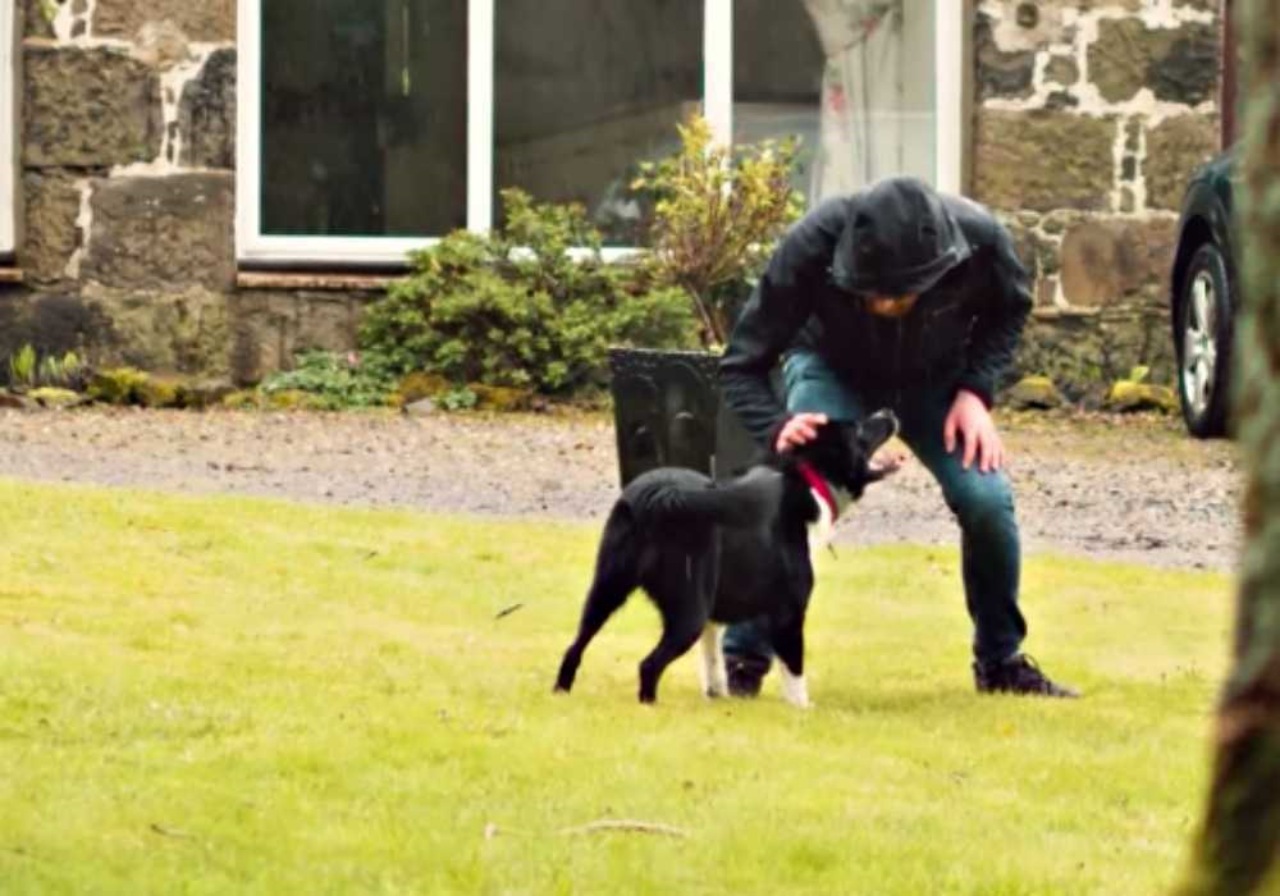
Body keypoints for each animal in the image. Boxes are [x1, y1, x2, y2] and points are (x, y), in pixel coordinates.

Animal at [558, 412, 901, 706]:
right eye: (858, 430)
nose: (889, 412)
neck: (810, 479)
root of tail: (661, 495)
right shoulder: (789, 612)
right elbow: (794, 669)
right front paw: (803, 709)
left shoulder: (715, 617)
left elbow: (713, 661)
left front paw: (718, 697)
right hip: (688, 612)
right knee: (648, 665)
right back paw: (649, 706)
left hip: (606, 589)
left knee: (574, 646)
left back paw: (561, 692)